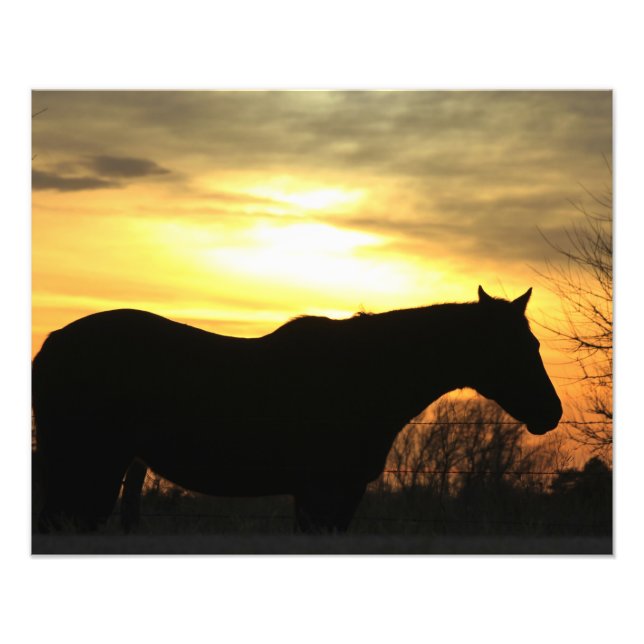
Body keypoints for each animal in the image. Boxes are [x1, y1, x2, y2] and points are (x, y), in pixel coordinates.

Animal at [32, 286, 562, 534]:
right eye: (520, 347)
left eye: (534, 344)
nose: (551, 412)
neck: (365, 376)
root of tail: (52, 345)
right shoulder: (325, 493)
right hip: (88, 469)